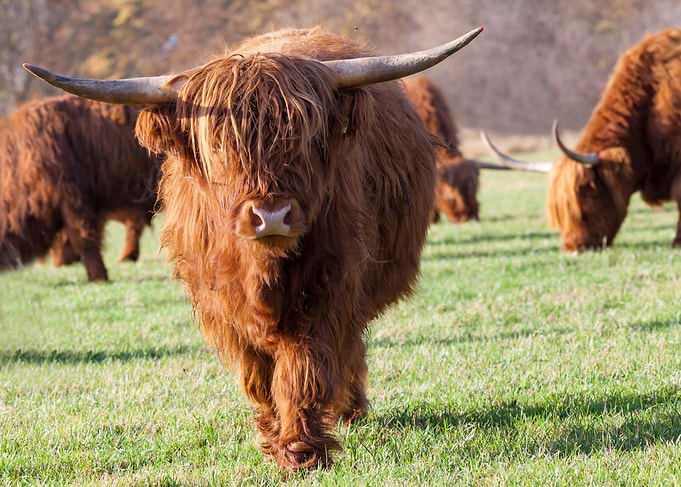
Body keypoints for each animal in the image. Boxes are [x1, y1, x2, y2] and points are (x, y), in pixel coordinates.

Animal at [26, 26, 482, 470]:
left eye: (304, 137)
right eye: (220, 145)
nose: (272, 215)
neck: (261, 269)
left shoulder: (328, 289)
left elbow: (303, 369)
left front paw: (301, 451)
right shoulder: (223, 307)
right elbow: (258, 376)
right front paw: (272, 435)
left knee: (349, 349)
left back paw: (349, 410)